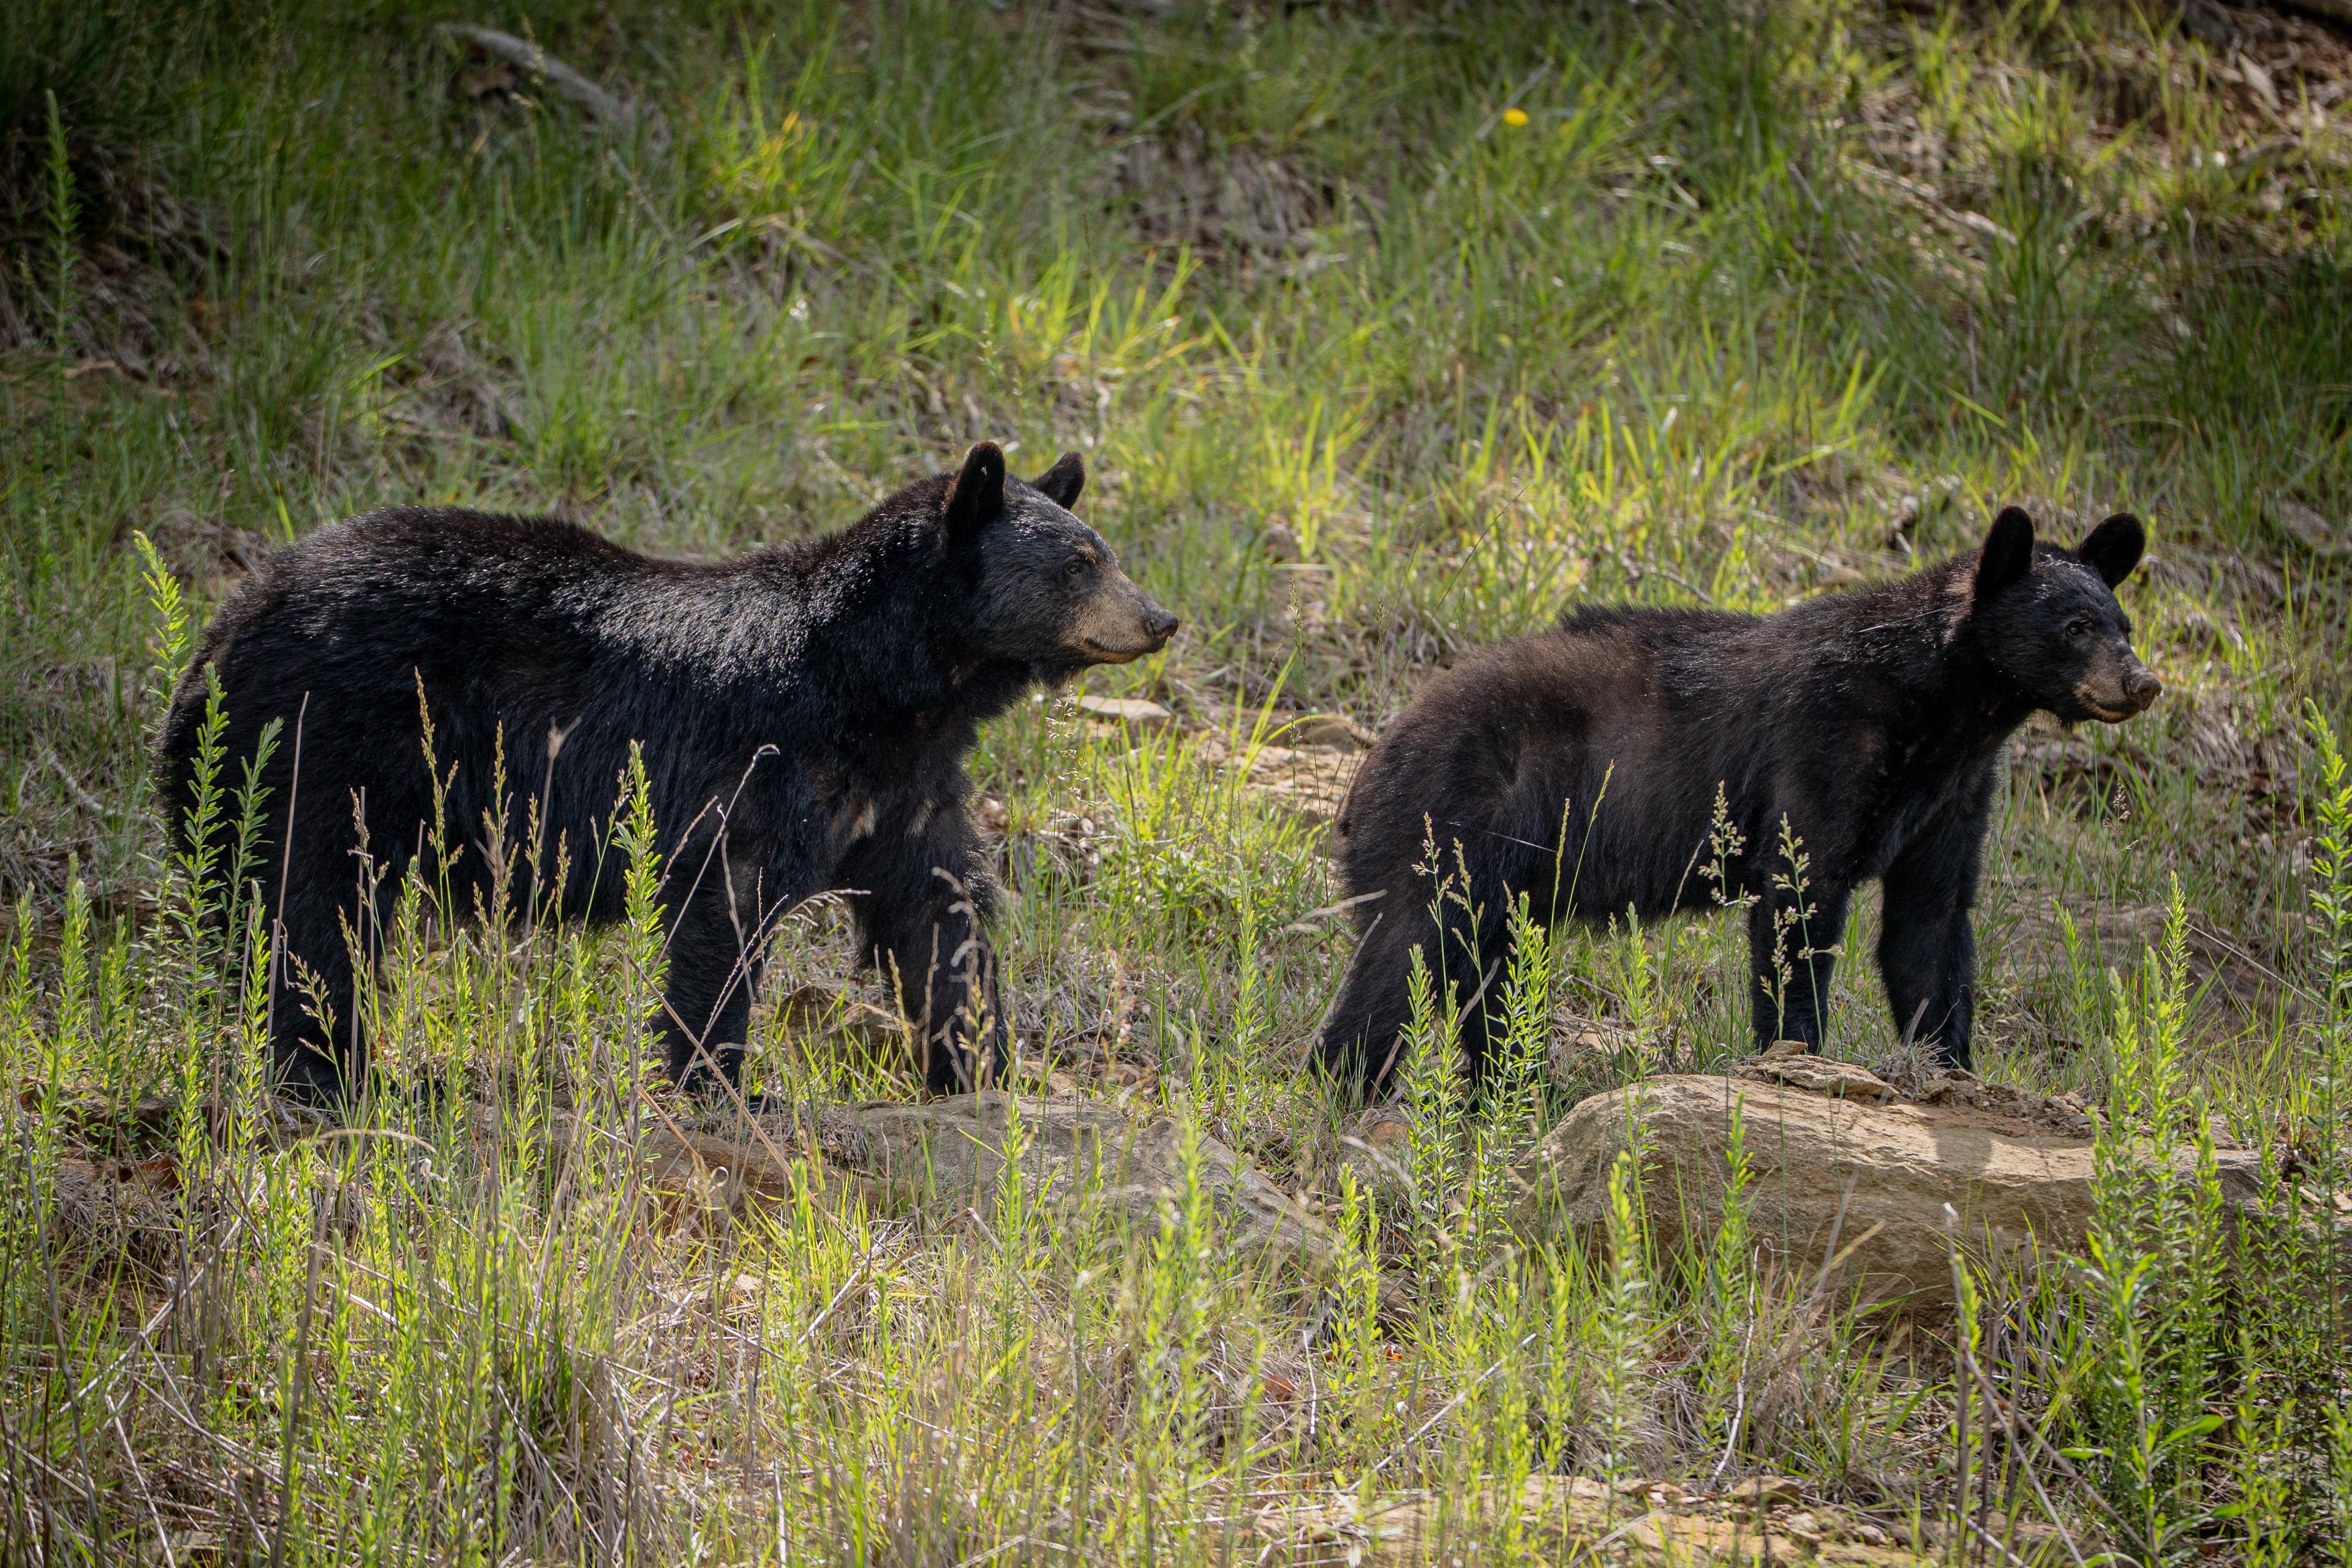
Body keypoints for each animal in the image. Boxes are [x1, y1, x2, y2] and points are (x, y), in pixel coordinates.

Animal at [159, 442, 1179, 1105]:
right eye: (1082, 562)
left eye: (1107, 552)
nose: (1162, 617)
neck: (891, 688)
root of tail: (222, 630)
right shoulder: (764, 761)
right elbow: (725, 911)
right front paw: (719, 1087)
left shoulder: (906, 788)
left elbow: (942, 913)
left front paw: (982, 1070)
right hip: (332, 748)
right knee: (312, 914)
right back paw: (342, 1074)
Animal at [1318, 506, 2159, 1100]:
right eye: (2077, 625)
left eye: (2125, 623)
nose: (2142, 681)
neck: (1941, 710)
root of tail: (1369, 765)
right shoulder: (1820, 742)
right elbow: (1798, 906)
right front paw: (1797, 1062)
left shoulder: (1953, 794)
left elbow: (1931, 927)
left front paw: (1950, 1067)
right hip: (1447, 823)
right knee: (1402, 959)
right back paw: (1355, 1090)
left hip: (1502, 886)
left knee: (1489, 983)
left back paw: (1515, 1091)